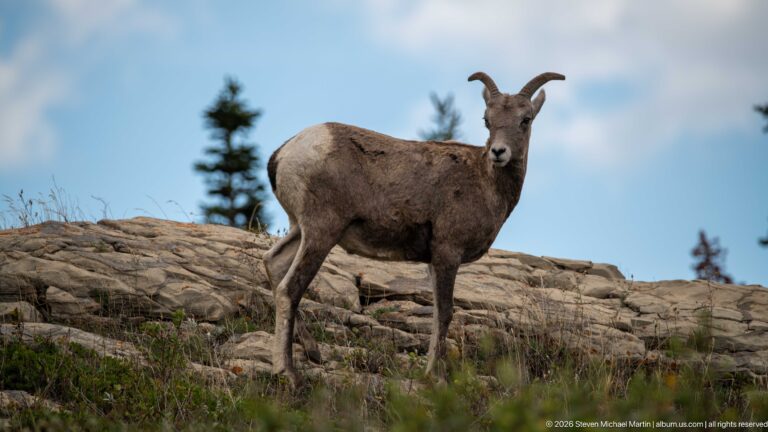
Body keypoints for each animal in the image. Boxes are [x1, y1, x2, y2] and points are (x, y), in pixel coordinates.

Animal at [263, 71, 565, 384]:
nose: (498, 152)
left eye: (525, 119)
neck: (485, 182)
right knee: (290, 289)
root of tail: (285, 153)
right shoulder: (448, 252)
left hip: (300, 229)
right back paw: (288, 372)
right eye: (487, 119)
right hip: (322, 232)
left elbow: (436, 314)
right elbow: (445, 312)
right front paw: (437, 378)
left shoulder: (433, 260)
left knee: (273, 262)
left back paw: (311, 352)